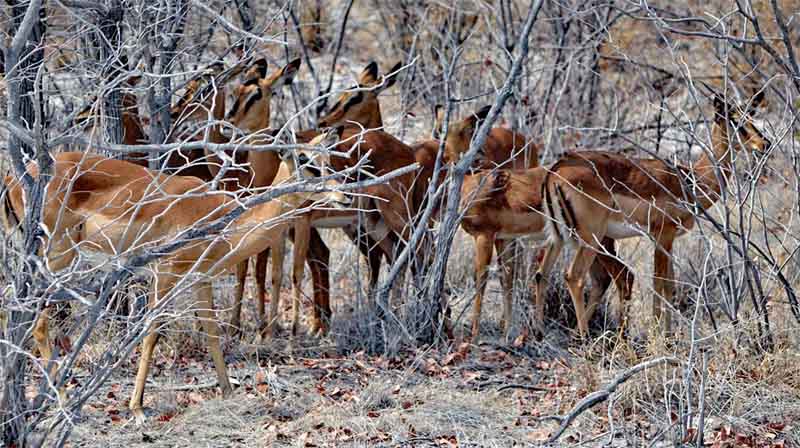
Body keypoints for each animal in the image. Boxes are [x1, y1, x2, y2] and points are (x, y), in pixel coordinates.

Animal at [2, 131, 345, 423]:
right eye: (304, 160)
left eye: (328, 159)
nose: (342, 195)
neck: (222, 220)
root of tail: (14, 178)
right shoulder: (165, 272)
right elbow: (151, 333)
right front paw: (137, 408)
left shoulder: (201, 279)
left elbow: (212, 332)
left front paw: (228, 392)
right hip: (57, 257)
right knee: (38, 322)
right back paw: (64, 403)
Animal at [533, 89, 771, 338]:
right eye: (735, 121)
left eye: (751, 117)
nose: (765, 143)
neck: (690, 180)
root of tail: (555, 171)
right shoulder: (662, 235)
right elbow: (659, 283)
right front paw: (660, 337)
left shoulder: (668, 239)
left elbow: (670, 285)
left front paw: (668, 336)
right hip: (591, 238)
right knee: (575, 277)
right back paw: (585, 337)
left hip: (558, 238)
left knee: (542, 274)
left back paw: (538, 332)